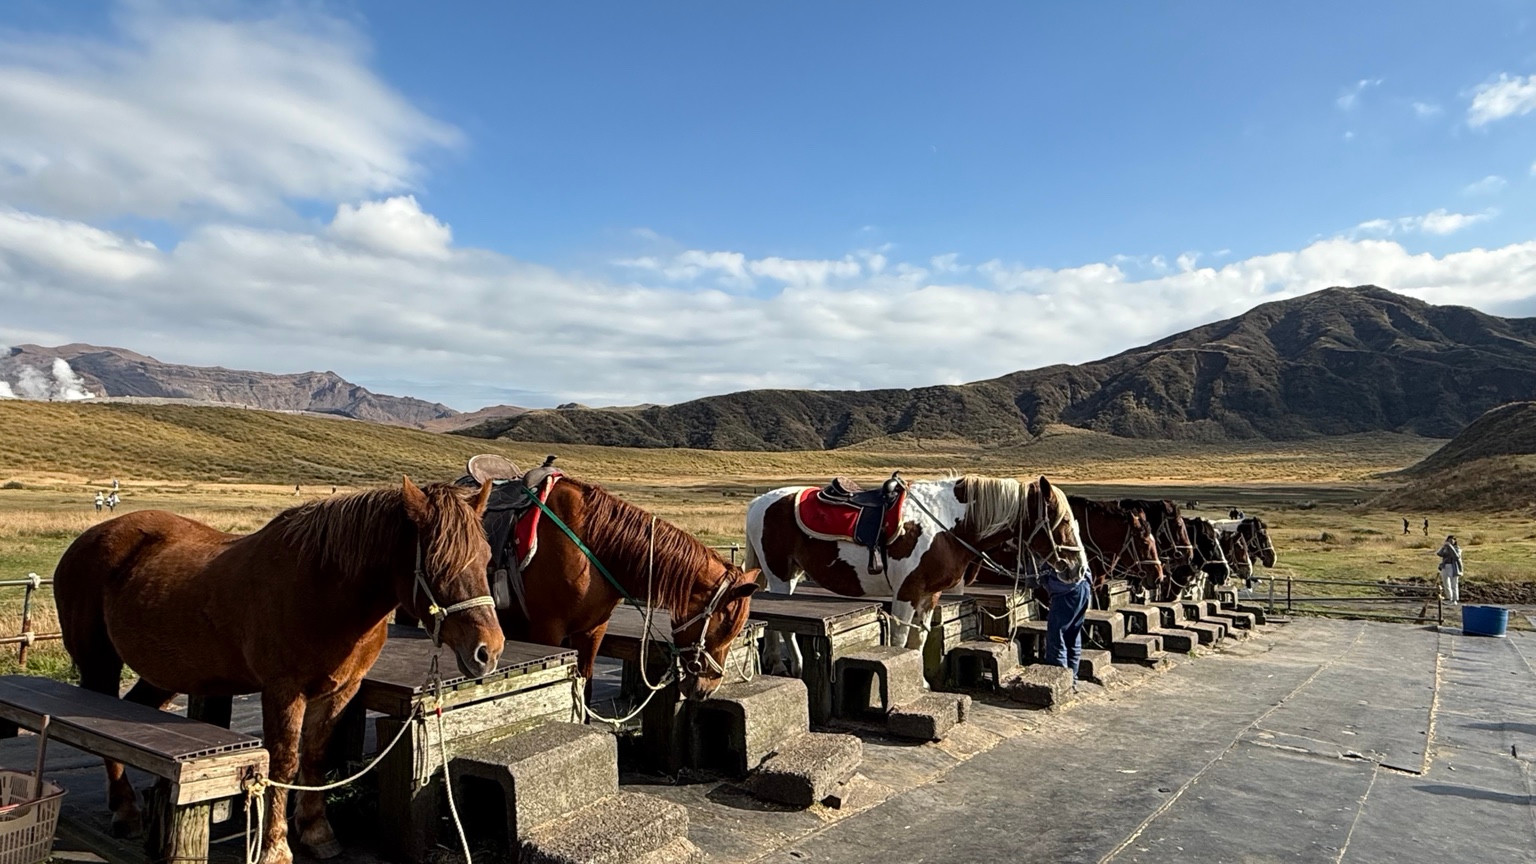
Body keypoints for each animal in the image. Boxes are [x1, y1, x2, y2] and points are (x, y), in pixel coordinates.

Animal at [54, 478, 502, 864]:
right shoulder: (284, 691)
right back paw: (126, 811)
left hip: (163, 674)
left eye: (486, 558)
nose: (488, 650)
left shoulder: (340, 690)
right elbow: (282, 764)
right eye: (438, 564)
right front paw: (275, 846)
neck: (323, 588)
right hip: (99, 667)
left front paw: (317, 832)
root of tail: (86, 541)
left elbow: (315, 758)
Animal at [493, 473, 761, 701]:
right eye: (726, 626)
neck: (591, 546)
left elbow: (586, 689)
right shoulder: (547, 630)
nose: (707, 689)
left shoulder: (592, 631)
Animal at [746, 474, 1087, 671]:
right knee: (785, 627)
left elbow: (918, 640)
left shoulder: (929, 595)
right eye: (1062, 521)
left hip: (790, 575)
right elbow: (898, 642)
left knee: (776, 625)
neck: (946, 523)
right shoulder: (906, 594)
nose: (1078, 568)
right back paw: (796, 666)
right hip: (779, 575)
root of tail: (759, 501)